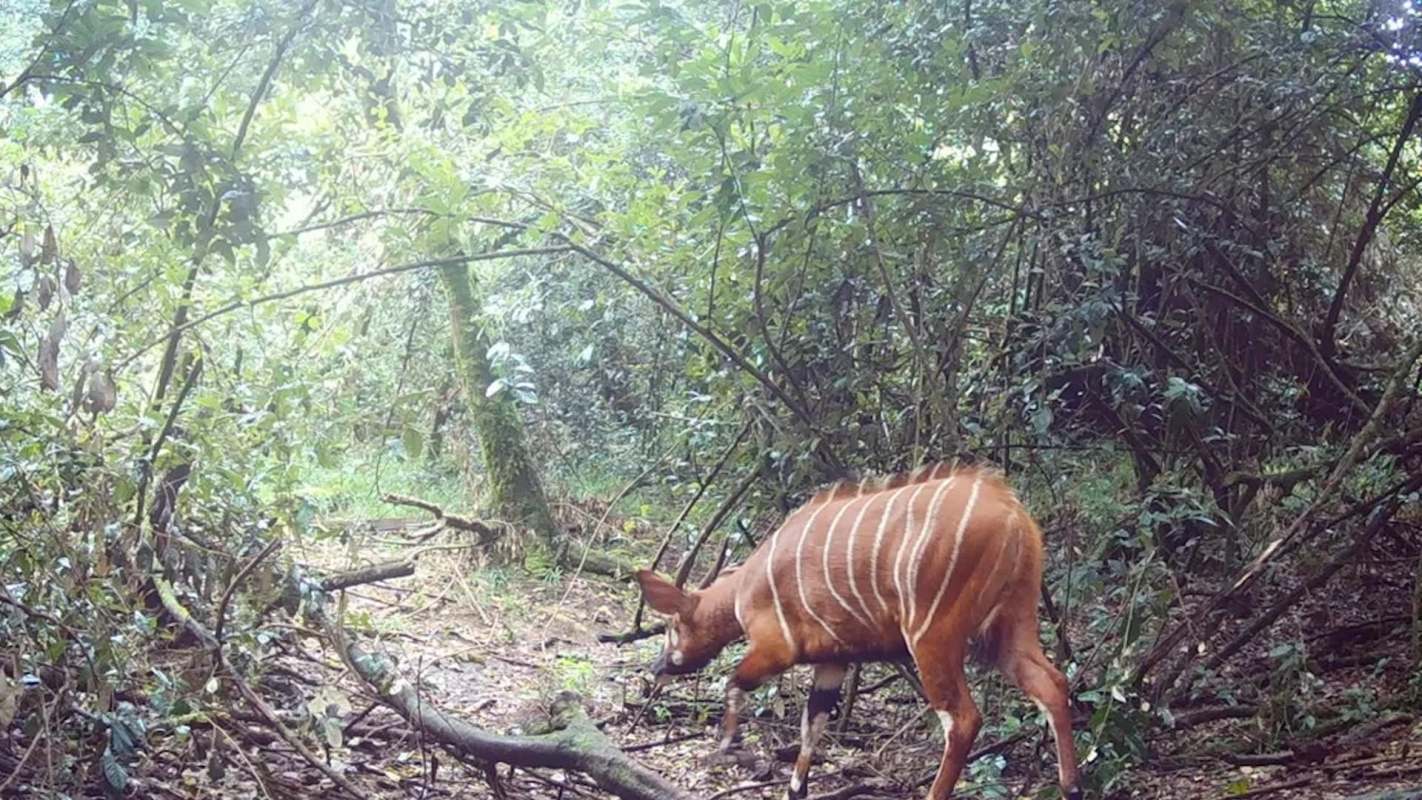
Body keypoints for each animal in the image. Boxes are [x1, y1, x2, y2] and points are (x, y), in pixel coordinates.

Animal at [635, 462, 1081, 800]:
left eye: (671, 626)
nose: (657, 667)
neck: (747, 583)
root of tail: (1013, 514)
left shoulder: (776, 647)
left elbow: (734, 683)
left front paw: (726, 749)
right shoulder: (833, 660)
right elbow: (812, 724)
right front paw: (795, 788)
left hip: (932, 637)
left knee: (963, 718)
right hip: (1011, 627)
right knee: (1052, 683)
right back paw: (1071, 787)